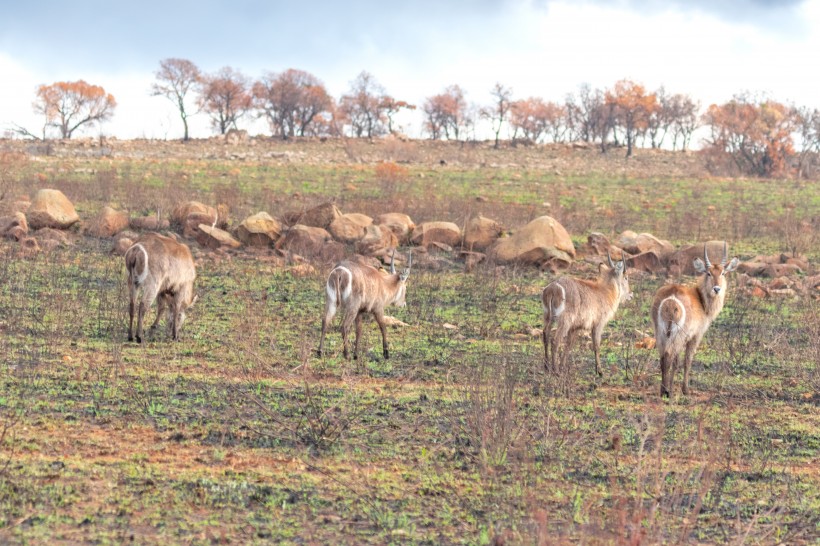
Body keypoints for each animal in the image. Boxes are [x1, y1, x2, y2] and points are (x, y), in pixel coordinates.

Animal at [652, 242, 740, 396]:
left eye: (722, 273)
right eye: (708, 273)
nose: (717, 289)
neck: (701, 299)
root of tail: (671, 296)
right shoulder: (695, 336)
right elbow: (687, 361)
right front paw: (685, 389)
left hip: (661, 333)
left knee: (663, 358)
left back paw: (663, 390)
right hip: (677, 335)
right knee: (669, 356)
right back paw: (668, 392)